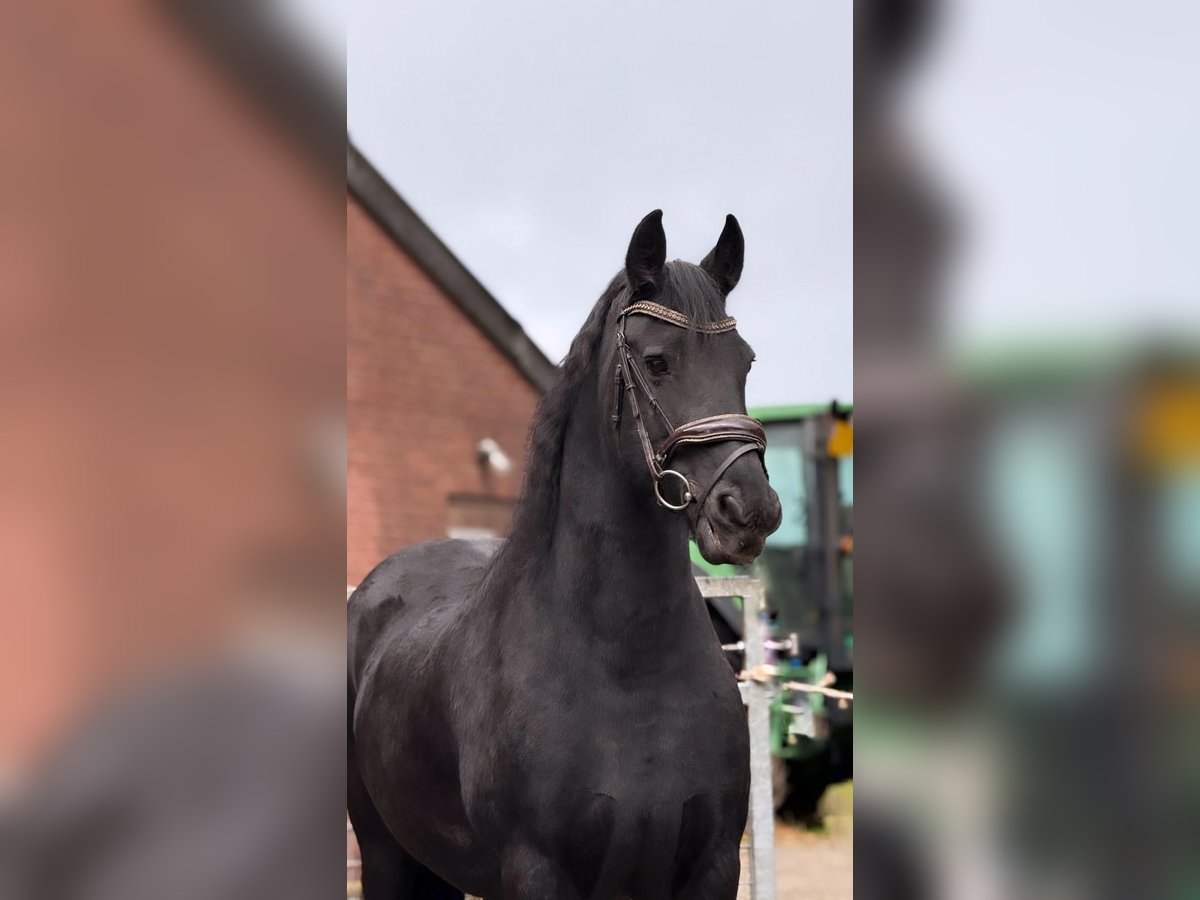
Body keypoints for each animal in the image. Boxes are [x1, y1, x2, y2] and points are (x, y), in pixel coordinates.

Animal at [348, 209, 782, 899]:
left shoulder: (714, 866)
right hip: (385, 852)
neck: (626, 669)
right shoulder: (536, 871)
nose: (748, 512)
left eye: (745, 361)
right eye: (657, 362)